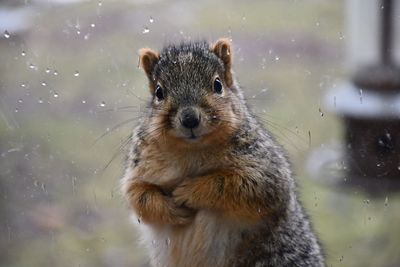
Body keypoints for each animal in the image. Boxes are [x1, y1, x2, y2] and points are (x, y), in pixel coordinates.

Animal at [122, 38, 324, 267]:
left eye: (217, 85)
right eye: (159, 92)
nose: (190, 119)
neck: (192, 151)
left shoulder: (265, 166)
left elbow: (248, 186)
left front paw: (189, 191)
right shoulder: (141, 165)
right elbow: (138, 195)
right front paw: (171, 209)